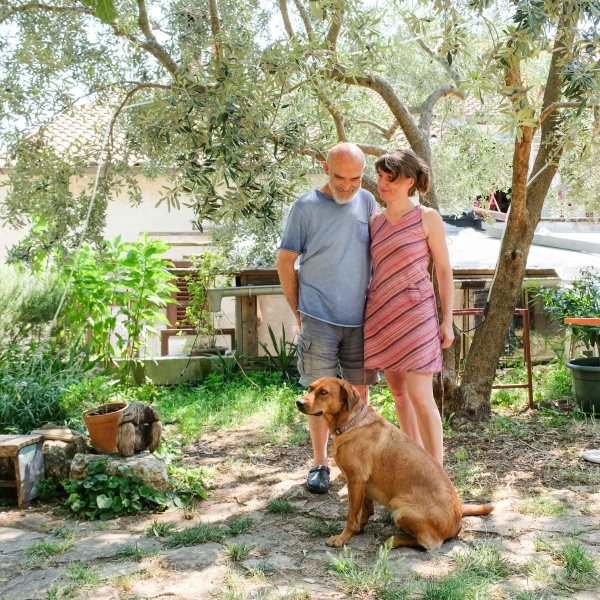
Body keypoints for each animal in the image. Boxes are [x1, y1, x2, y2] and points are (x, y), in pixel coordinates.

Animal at [296, 378, 492, 552]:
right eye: (310, 388)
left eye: (323, 392)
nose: (298, 402)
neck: (352, 423)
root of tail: (457, 522)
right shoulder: (363, 485)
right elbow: (365, 510)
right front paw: (359, 528)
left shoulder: (355, 480)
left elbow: (351, 515)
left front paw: (343, 538)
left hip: (400, 507)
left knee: (428, 543)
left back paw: (394, 540)